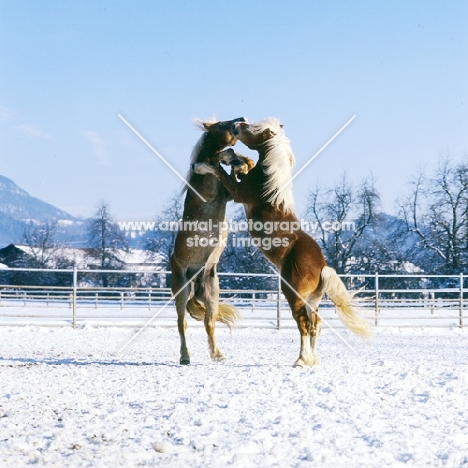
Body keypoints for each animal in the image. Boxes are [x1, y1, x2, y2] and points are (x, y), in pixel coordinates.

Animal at [170, 115, 254, 364]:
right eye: (220, 124)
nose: (242, 119)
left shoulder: (230, 194)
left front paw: (237, 161)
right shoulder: (220, 192)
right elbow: (219, 170)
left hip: (211, 295)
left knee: (209, 322)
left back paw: (217, 353)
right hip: (182, 292)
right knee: (182, 323)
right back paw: (185, 357)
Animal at [192, 116, 372, 366]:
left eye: (251, 129)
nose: (238, 124)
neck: (269, 187)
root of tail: (322, 268)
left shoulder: (238, 193)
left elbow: (221, 173)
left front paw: (204, 165)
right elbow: (244, 164)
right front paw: (231, 158)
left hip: (293, 295)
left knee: (304, 324)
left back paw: (301, 360)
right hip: (312, 300)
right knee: (315, 324)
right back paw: (312, 359)